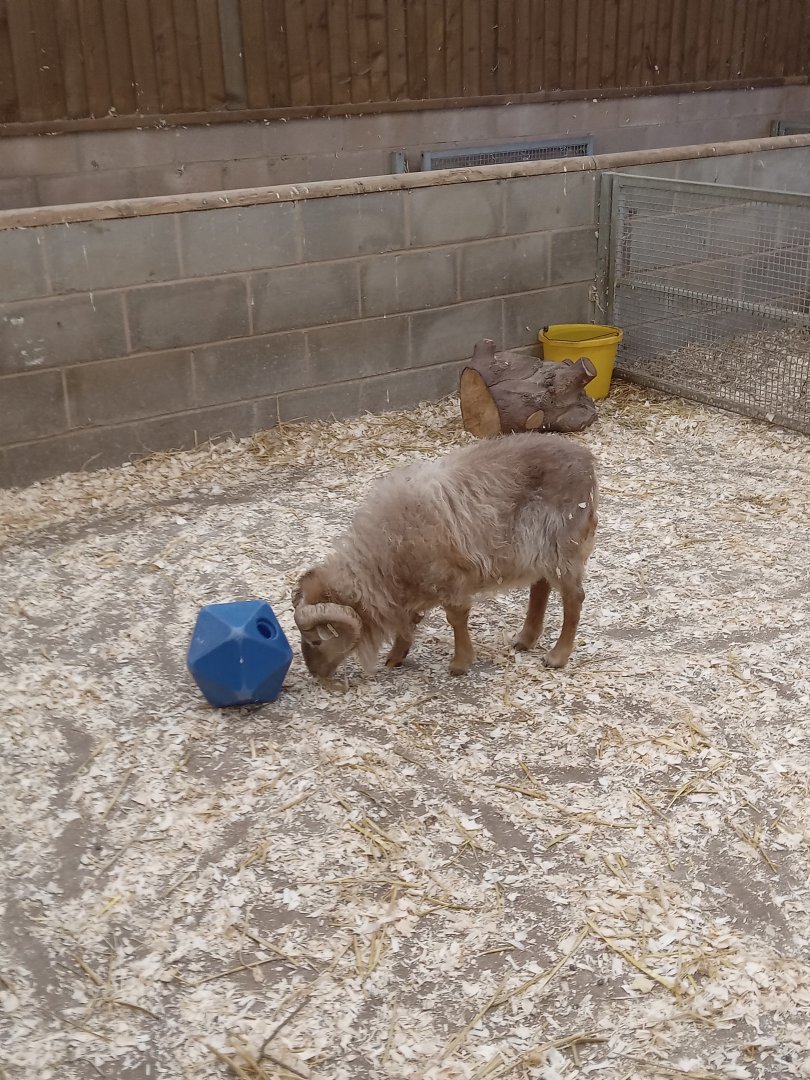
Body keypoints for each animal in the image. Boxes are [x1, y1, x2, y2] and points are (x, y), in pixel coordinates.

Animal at [292, 431, 597, 680]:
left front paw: (460, 663)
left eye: (317, 641)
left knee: (574, 598)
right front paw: (396, 656)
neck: (383, 558)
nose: (315, 674)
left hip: (564, 546)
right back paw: (525, 639)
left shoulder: (448, 579)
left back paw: (557, 656)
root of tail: (587, 461)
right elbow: (409, 619)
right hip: (538, 549)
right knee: (540, 587)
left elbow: (456, 618)